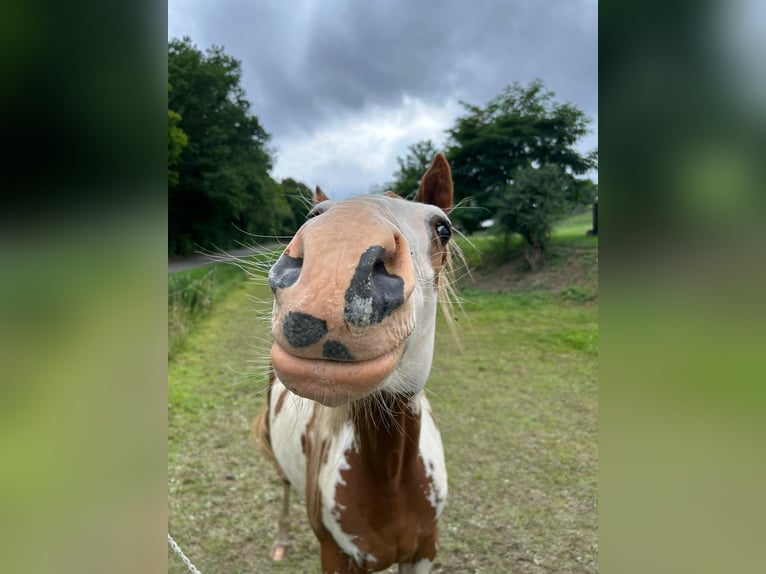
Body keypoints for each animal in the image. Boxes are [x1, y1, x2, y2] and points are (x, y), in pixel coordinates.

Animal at [253, 153, 456, 573]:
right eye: (314, 215)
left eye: (442, 228)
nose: (334, 263)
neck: (392, 475)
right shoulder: (335, 554)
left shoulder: (425, 550)